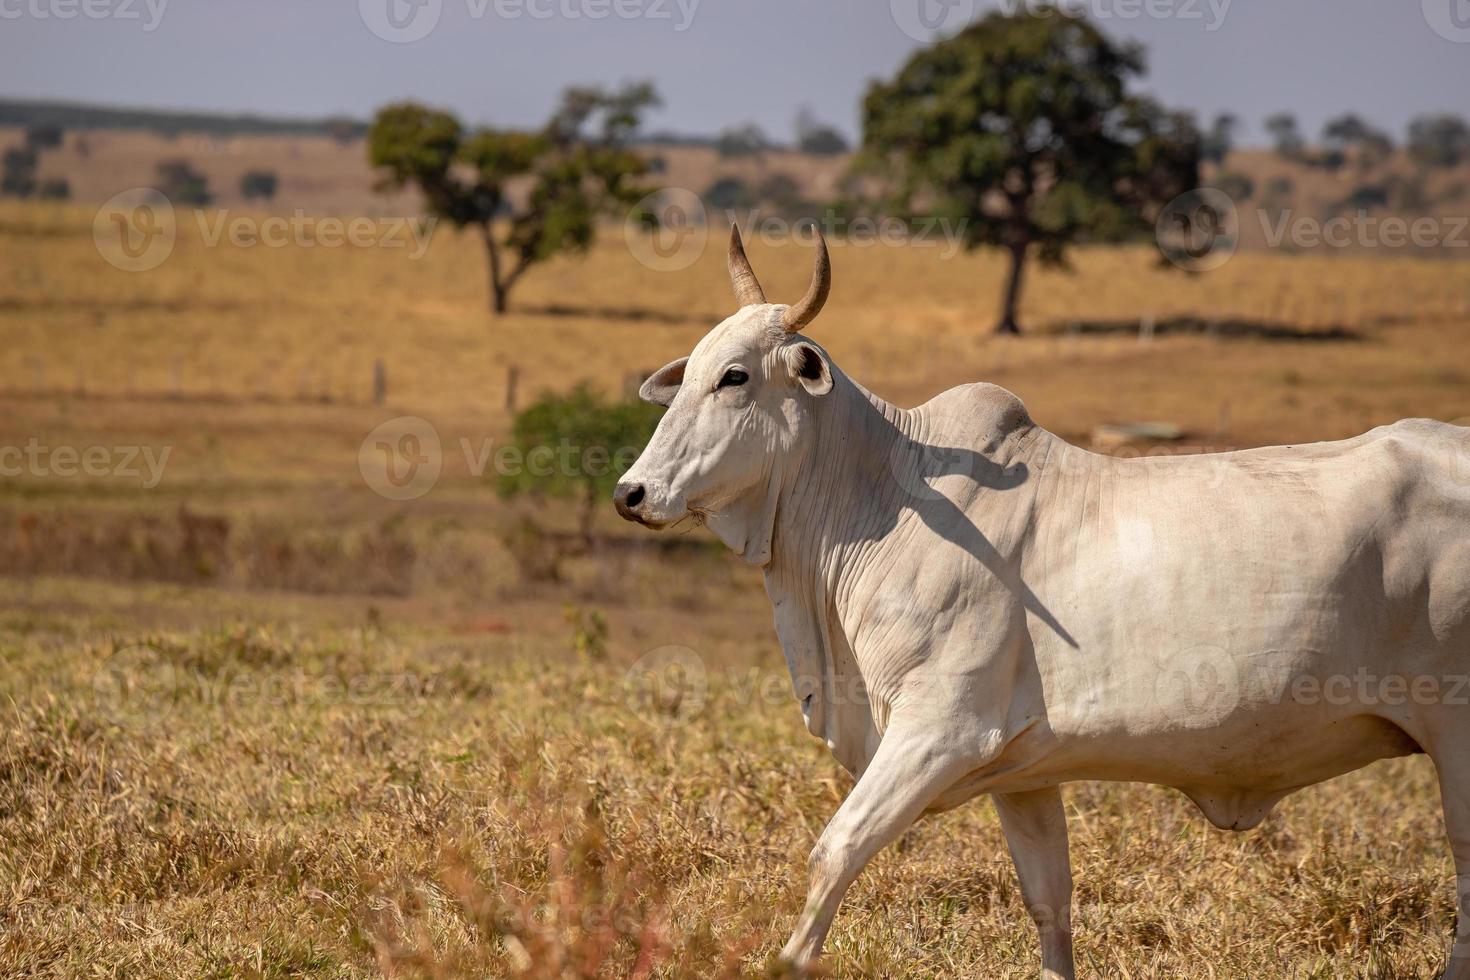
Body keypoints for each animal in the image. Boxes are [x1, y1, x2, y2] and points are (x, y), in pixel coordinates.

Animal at [614, 226, 1470, 975]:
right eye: (687, 374)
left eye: (735, 376)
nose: (632, 492)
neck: (884, 497)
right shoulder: (1023, 772)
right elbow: (1050, 903)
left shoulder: (939, 732)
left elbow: (835, 852)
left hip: (1456, 736)